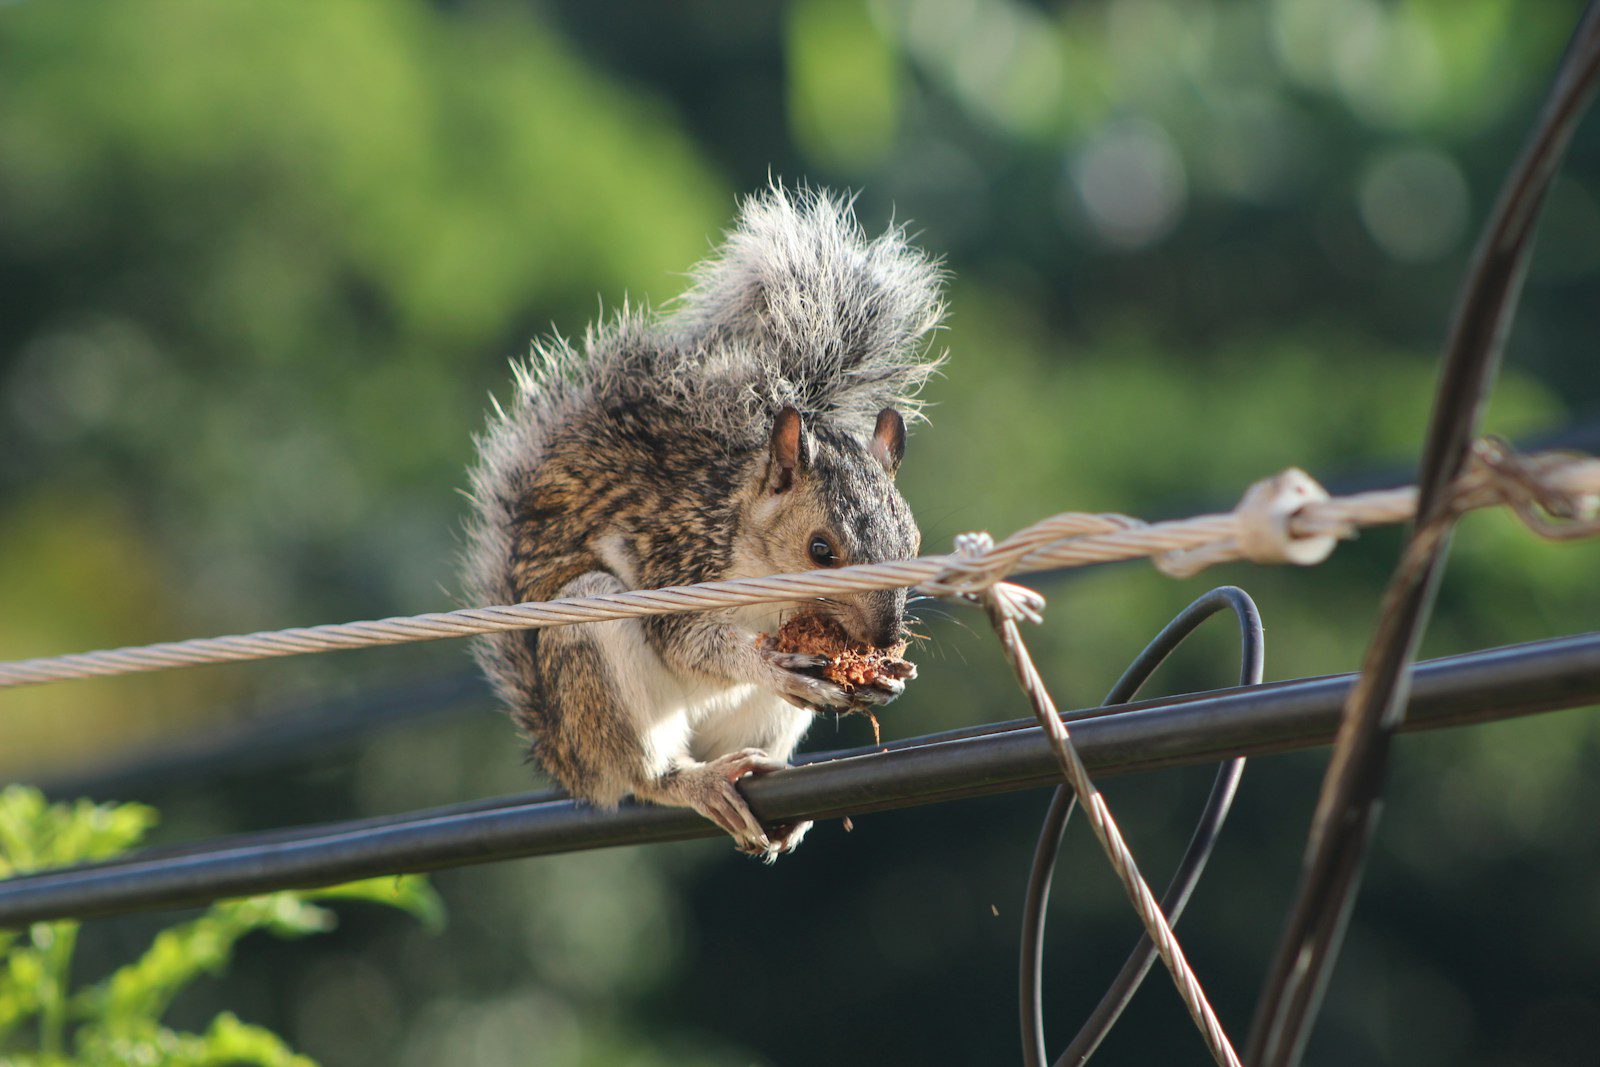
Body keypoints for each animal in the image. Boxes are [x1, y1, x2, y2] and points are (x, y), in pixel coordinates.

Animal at [463, 186, 946, 860]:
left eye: (914, 543)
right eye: (820, 549)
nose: (883, 637)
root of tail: (568, 761)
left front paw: (893, 675)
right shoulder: (679, 556)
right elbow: (687, 640)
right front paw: (765, 662)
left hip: (764, 721)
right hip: (590, 643)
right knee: (646, 774)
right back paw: (693, 781)